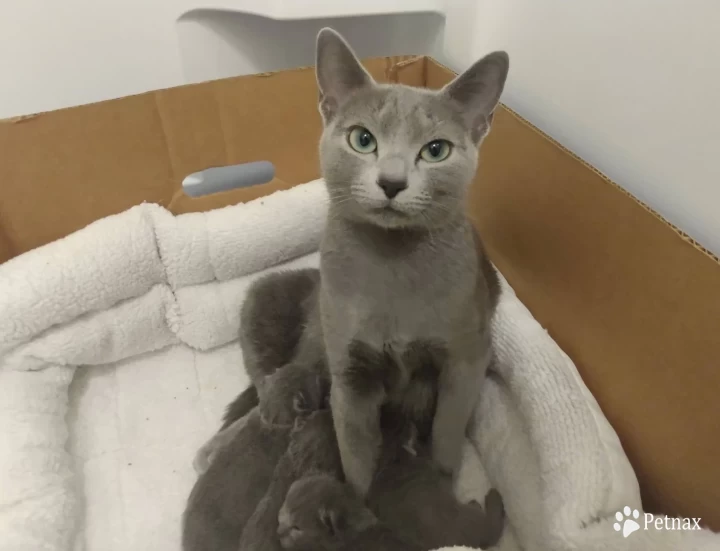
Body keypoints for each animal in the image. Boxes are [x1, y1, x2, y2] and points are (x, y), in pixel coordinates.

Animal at [316, 28, 506, 496]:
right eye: (362, 139)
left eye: (436, 150)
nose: (392, 182)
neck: (392, 259)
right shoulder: (349, 370)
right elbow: (355, 455)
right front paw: (359, 503)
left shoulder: (466, 356)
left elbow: (448, 433)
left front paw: (441, 483)